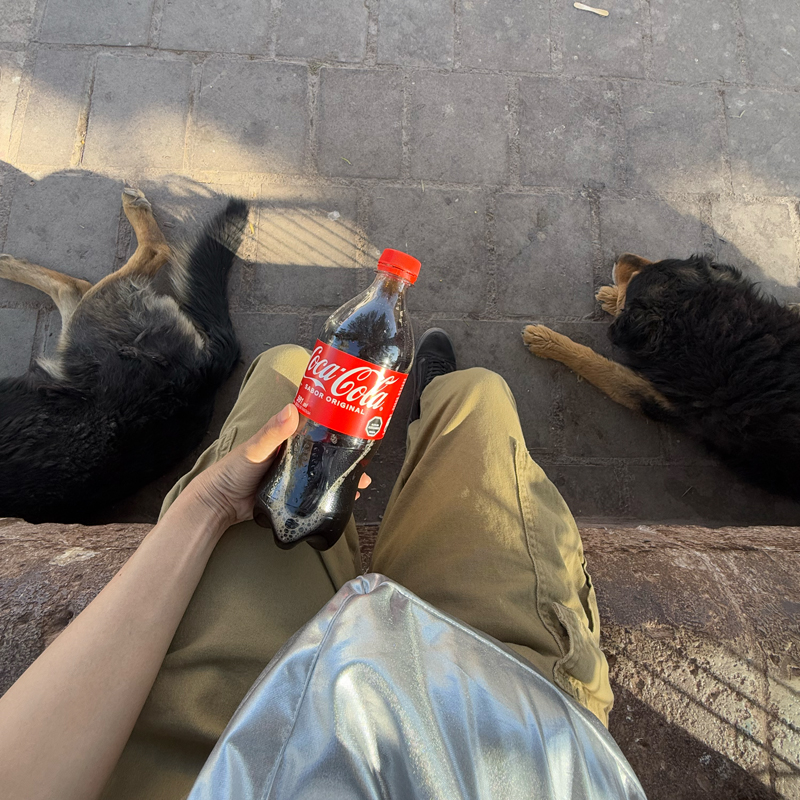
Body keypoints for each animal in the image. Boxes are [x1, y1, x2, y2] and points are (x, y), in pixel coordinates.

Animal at [523, 253, 800, 501]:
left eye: (635, 278)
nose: (619, 256)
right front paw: (612, 298)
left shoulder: (659, 400)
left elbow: (597, 364)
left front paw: (546, 340)